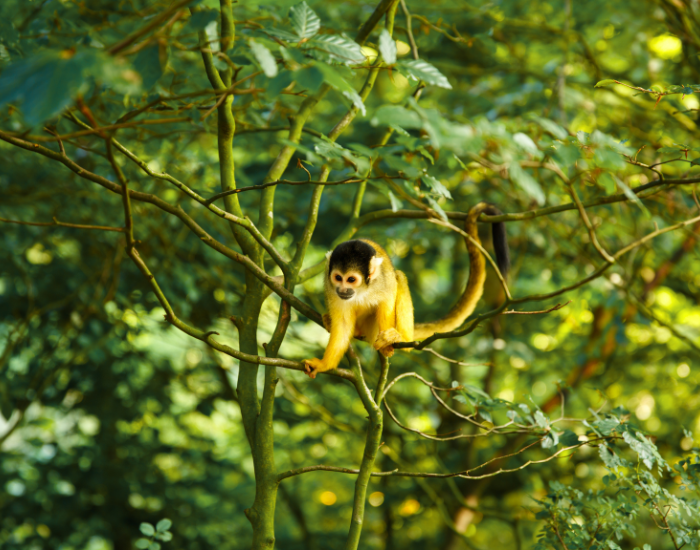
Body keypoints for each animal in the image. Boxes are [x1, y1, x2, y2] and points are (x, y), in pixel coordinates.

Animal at [303, 202, 510, 379]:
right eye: (338, 278)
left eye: (351, 279)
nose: (343, 289)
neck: (362, 289)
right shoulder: (330, 286)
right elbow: (344, 323)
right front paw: (323, 365)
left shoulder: (383, 281)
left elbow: (387, 302)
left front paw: (387, 344)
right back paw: (329, 320)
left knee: (399, 277)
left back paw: (401, 339)